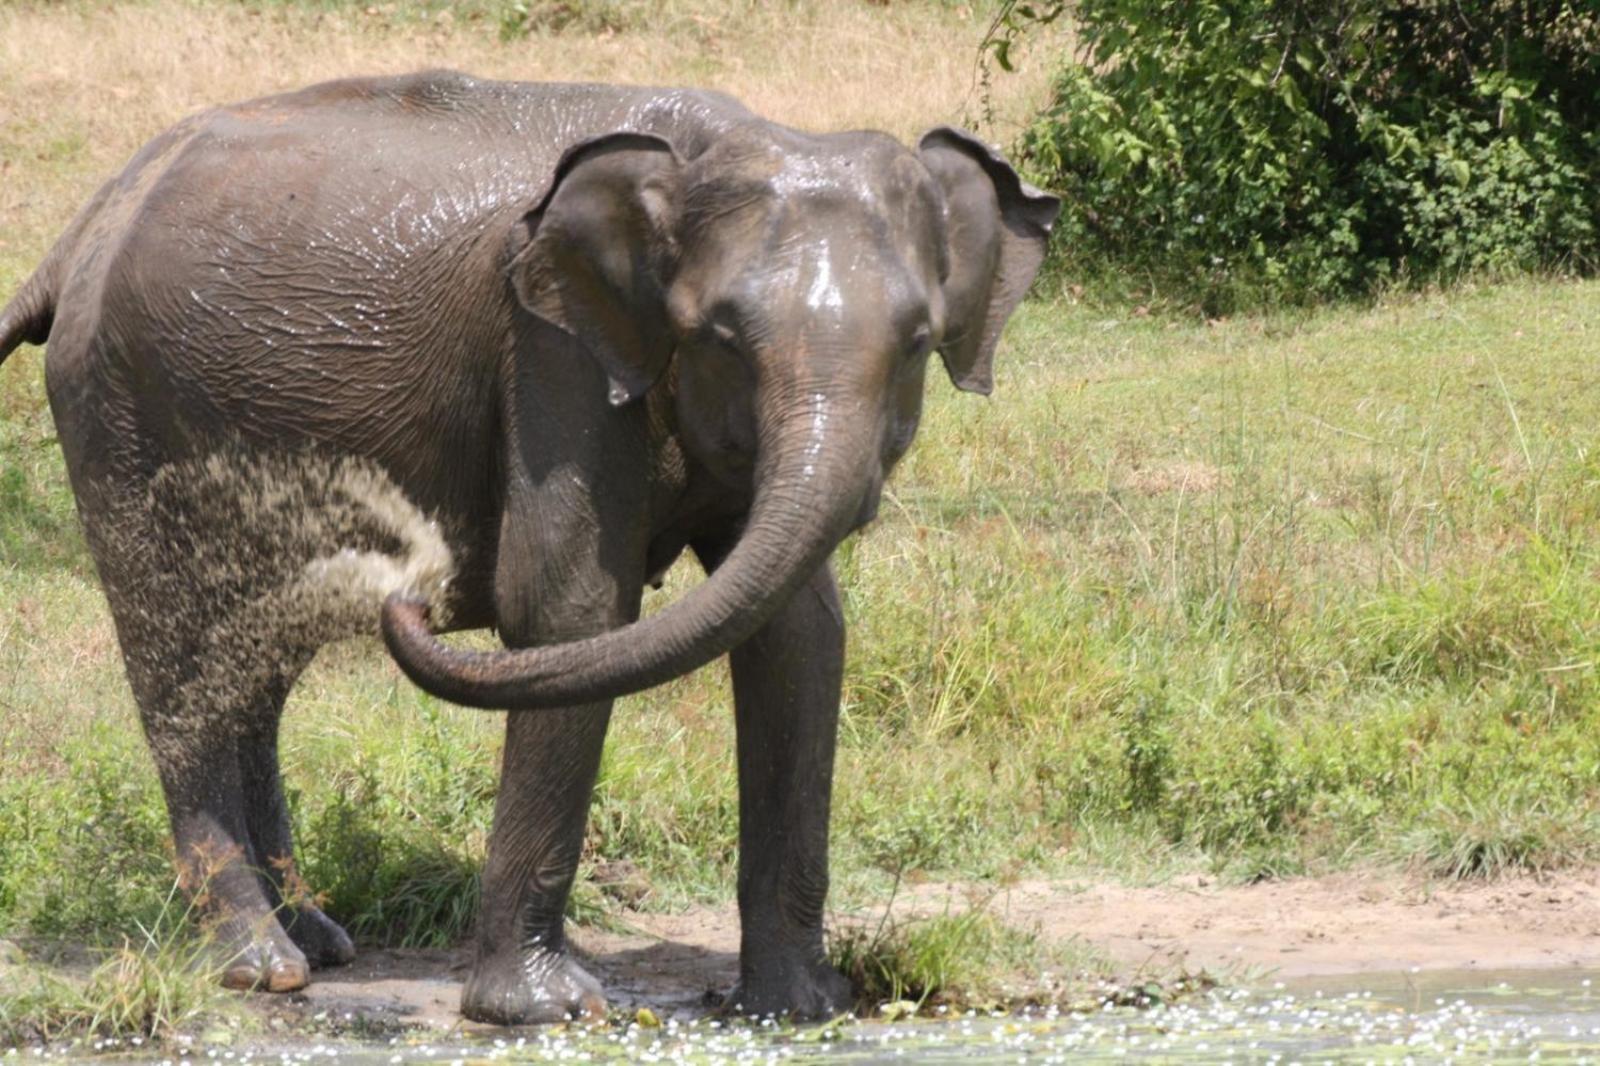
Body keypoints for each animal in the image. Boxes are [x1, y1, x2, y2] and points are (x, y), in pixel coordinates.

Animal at [3, 70, 1062, 1017]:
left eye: (919, 343)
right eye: (719, 337)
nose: (412, 585)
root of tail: (84, 227)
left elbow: (798, 630)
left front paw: (802, 1009)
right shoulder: (549, 348)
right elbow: (570, 609)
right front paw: (545, 1011)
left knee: (248, 666)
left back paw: (320, 943)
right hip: (118, 413)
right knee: (178, 658)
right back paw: (261, 969)